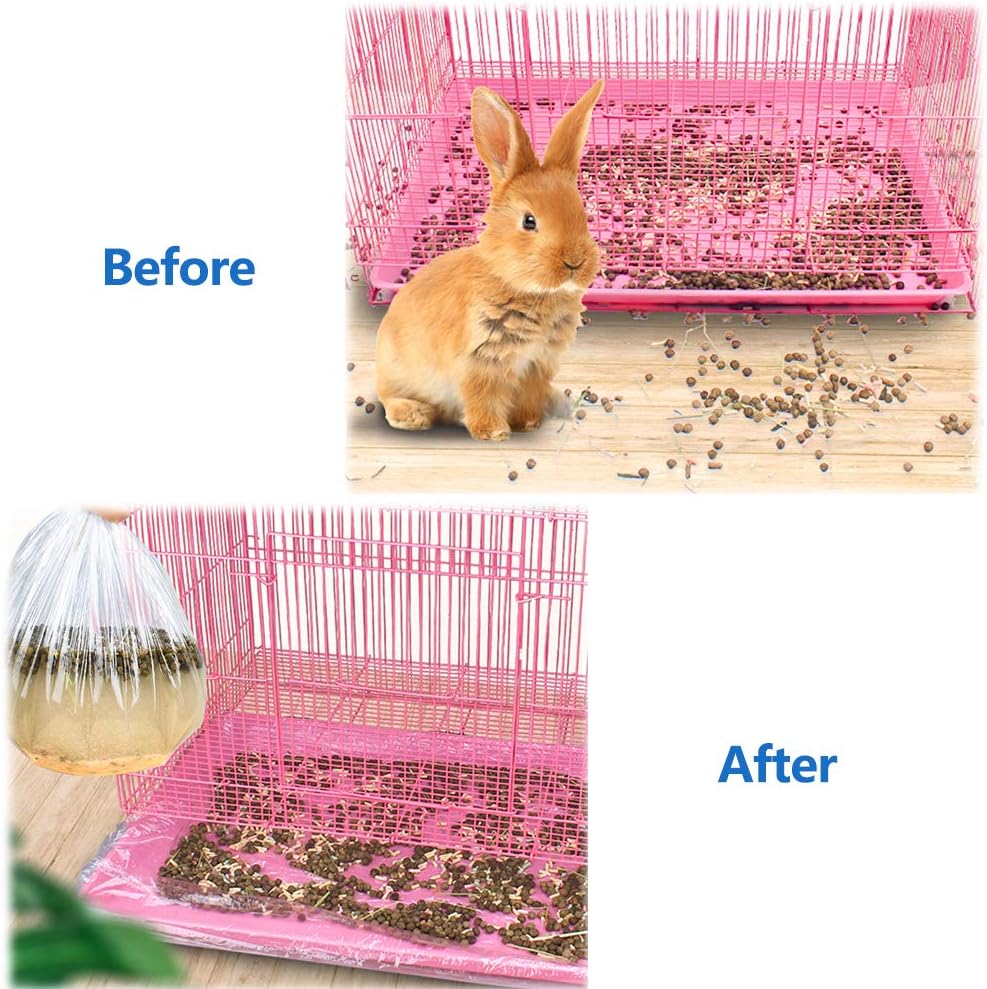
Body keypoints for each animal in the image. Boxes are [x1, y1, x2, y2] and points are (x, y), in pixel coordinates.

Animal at [376, 80, 604, 441]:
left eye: (582, 213)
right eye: (529, 221)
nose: (574, 262)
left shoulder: (535, 365)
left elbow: (527, 397)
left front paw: (528, 423)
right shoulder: (481, 361)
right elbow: (483, 398)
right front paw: (494, 433)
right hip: (400, 372)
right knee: (388, 398)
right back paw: (414, 415)